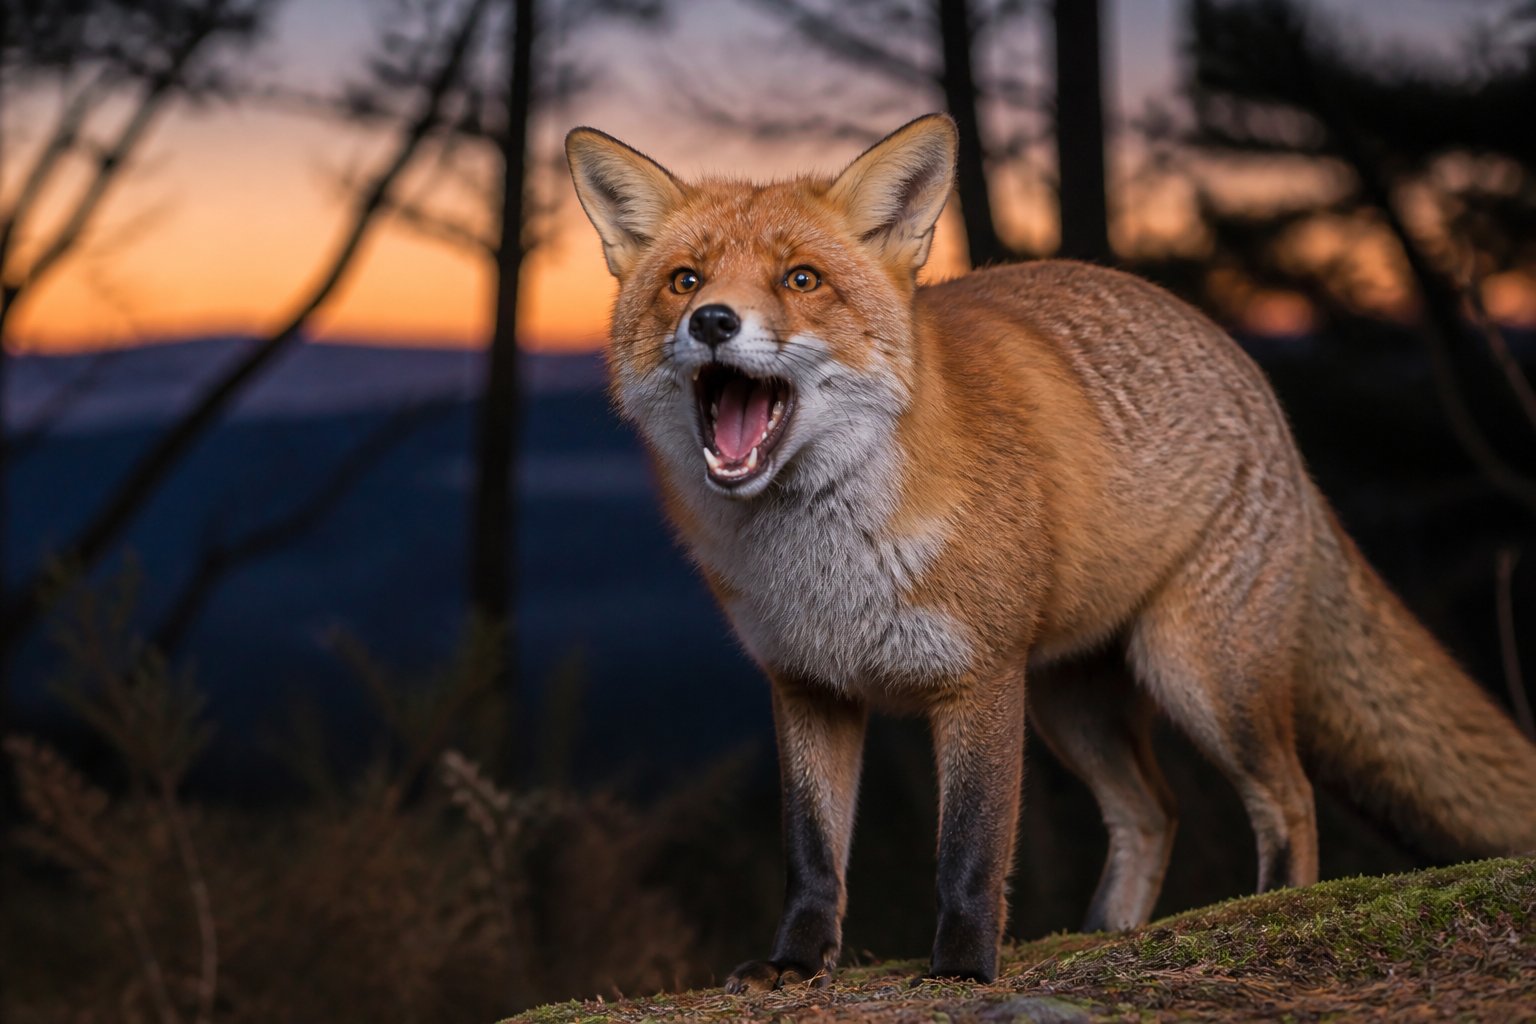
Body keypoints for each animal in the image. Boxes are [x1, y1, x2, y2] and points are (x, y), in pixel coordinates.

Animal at [564, 113, 1536, 990]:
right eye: (685, 280)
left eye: (801, 279)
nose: (714, 321)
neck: (825, 563)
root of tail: (1251, 377)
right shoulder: (809, 686)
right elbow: (812, 854)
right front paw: (795, 964)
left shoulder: (981, 679)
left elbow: (971, 849)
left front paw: (962, 970)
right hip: (1075, 707)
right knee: (1154, 813)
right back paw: (1106, 935)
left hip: (1198, 677)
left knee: (1287, 795)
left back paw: (1270, 909)